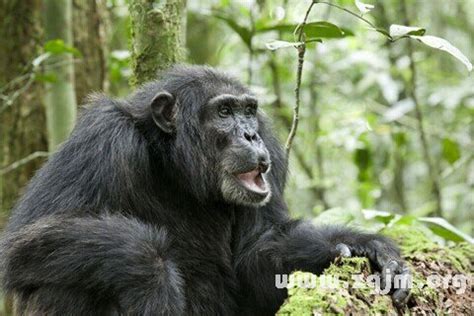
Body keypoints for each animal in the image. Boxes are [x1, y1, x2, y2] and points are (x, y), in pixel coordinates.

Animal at [0, 65, 410, 314]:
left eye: (248, 111)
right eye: (224, 112)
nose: (250, 134)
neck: (175, 166)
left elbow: (256, 255)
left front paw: (359, 244)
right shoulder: (100, 138)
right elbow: (23, 239)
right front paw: (152, 276)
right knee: (61, 279)